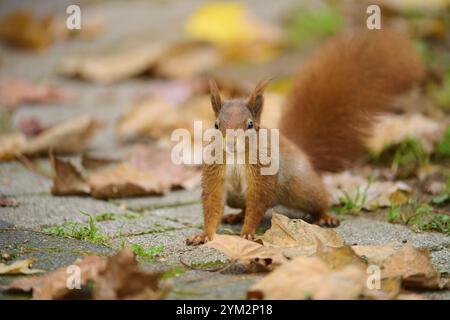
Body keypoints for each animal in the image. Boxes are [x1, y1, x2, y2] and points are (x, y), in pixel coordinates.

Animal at [185, 30, 424, 245]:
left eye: (250, 125)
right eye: (216, 125)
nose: (231, 143)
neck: (236, 157)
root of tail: (301, 152)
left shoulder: (263, 174)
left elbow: (257, 203)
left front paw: (248, 233)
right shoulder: (215, 173)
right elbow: (213, 203)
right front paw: (204, 235)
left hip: (302, 188)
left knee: (317, 200)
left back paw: (325, 216)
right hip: (237, 197)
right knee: (243, 205)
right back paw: (235, 215)